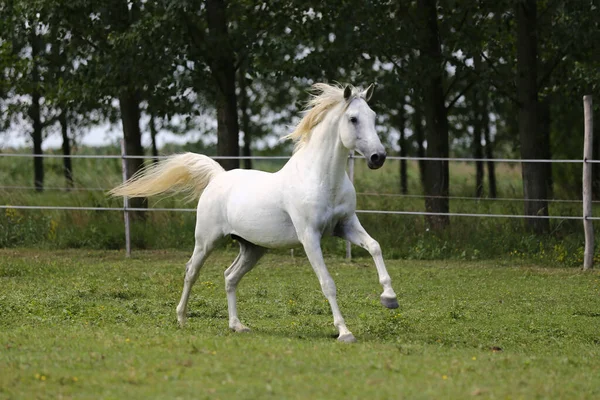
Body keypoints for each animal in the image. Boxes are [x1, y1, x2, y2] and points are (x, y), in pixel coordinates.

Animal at [111, 83, 398, 342]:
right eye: (353, 118)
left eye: (373, 116)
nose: (378, 157)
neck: (321, 178)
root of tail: (218, 176)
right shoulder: (310, 237)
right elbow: (328, 283)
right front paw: (344, 332)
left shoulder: (346, 225)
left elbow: (375, 246)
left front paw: (389, 298)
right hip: (206, 240)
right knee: (191, 271)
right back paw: (181, 318)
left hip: (252, 248)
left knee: (229, 277)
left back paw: (237, 326)